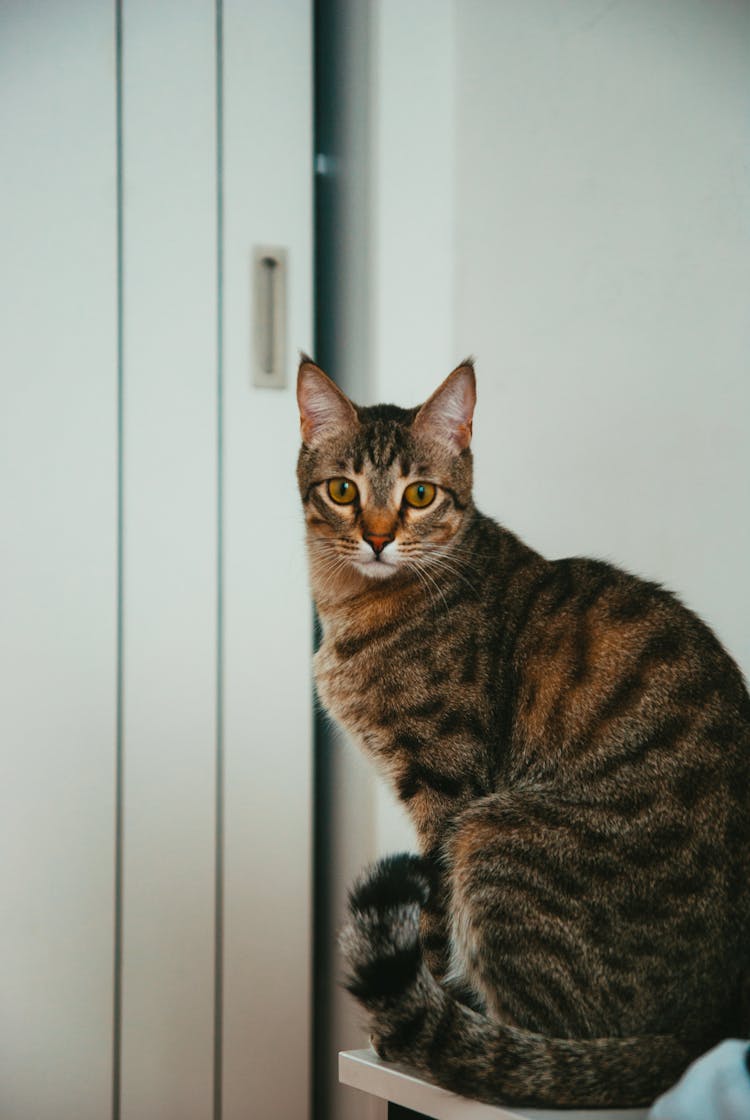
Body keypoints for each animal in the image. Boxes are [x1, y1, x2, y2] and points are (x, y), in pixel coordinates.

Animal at [295, 353, 750, 1106]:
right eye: (341, 489)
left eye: (420, 494)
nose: (379, 537)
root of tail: (698, 1037)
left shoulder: (447, 789)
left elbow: (433, 927)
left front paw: (425, 1008)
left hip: (493, 835)